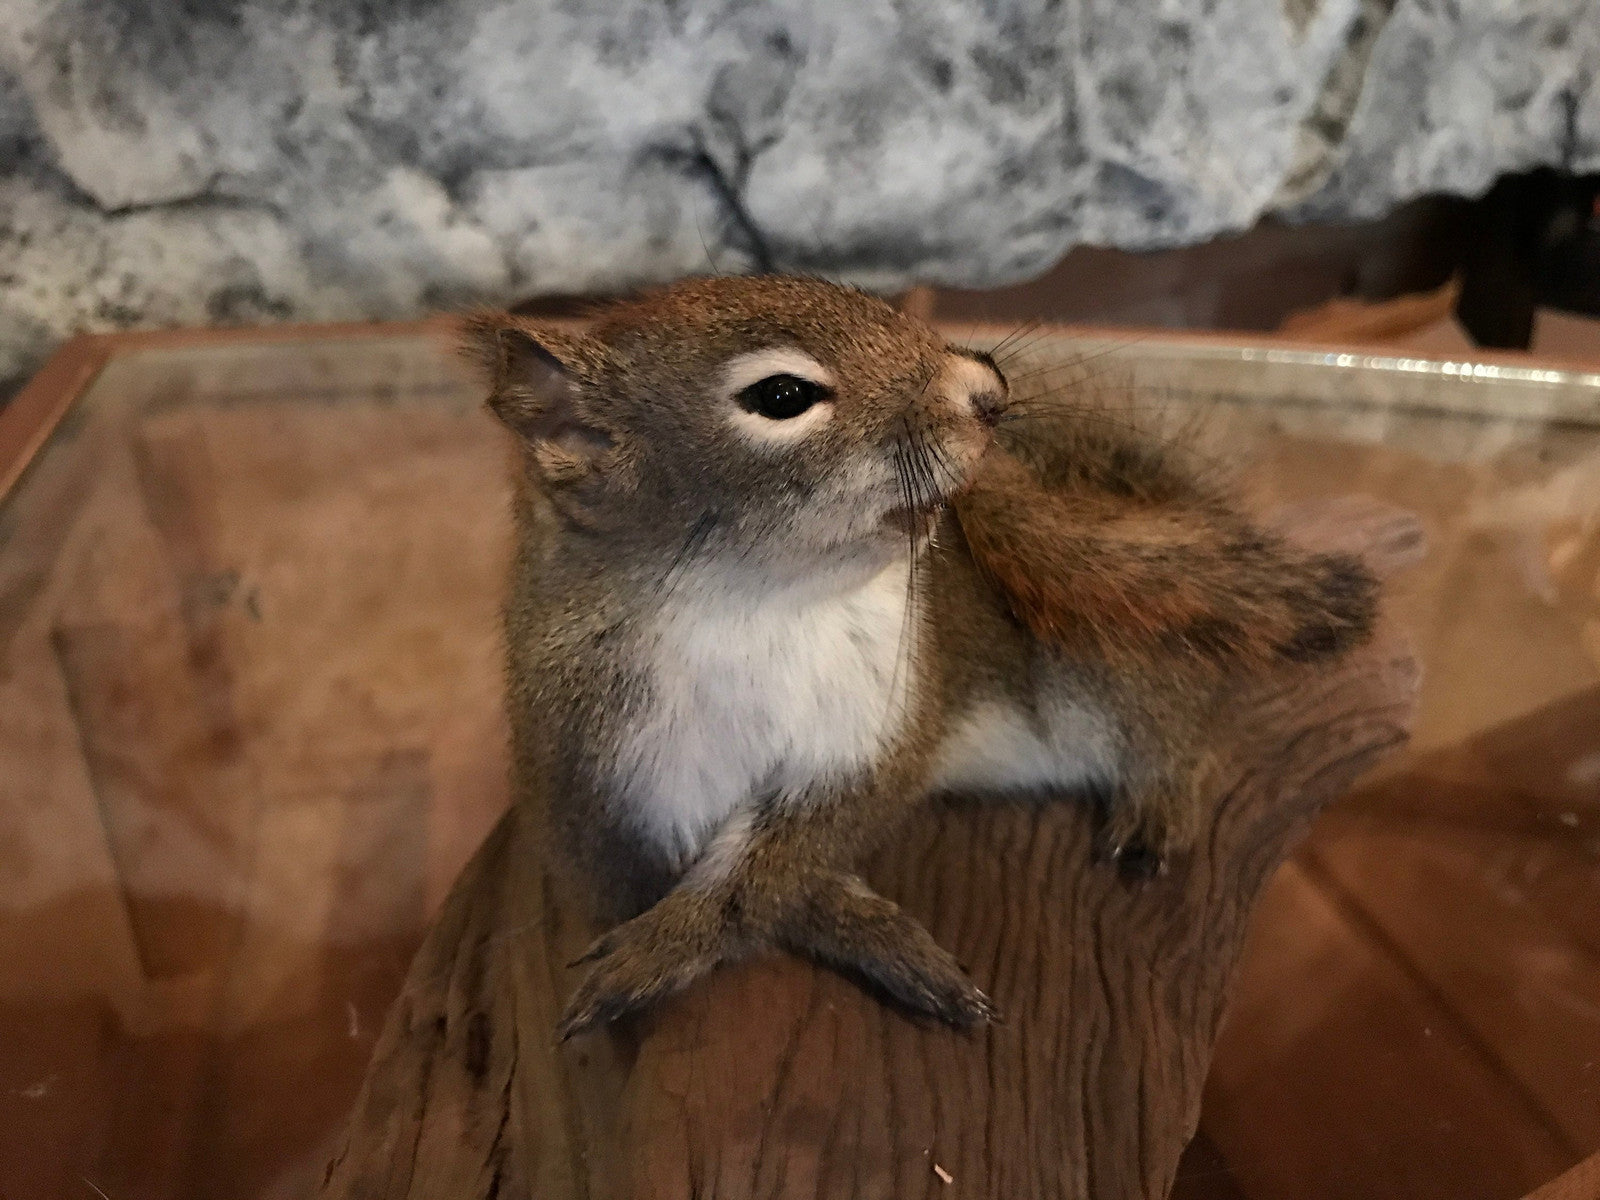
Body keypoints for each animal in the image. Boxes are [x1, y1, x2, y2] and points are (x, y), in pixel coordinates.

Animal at [460, 275, 1376, 1043]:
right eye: (782, 395)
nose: (988, 389)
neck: (753, 603)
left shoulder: (870, 732)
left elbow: (769, 875)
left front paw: (670, 945)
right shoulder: (624, 775)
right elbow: (759, 884)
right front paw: (865, 931)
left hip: (1099, 666)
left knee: (1180, 710)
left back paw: (1161, 798)